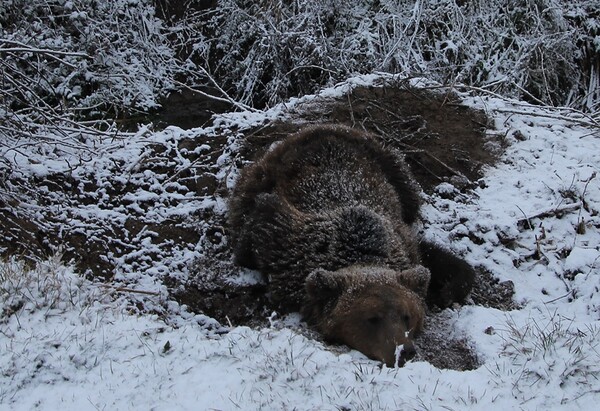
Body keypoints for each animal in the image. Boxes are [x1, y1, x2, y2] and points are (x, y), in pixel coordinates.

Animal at [227, 124, 476, 366]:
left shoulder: (402, 240)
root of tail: (322, 126)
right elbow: (256, 231)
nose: (403, 351)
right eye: (372, 318)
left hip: (395, 172)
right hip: (262, 174)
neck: (359, 250)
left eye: (407, 315)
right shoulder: (287, 246)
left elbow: (436, 260)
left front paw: (446, 291)